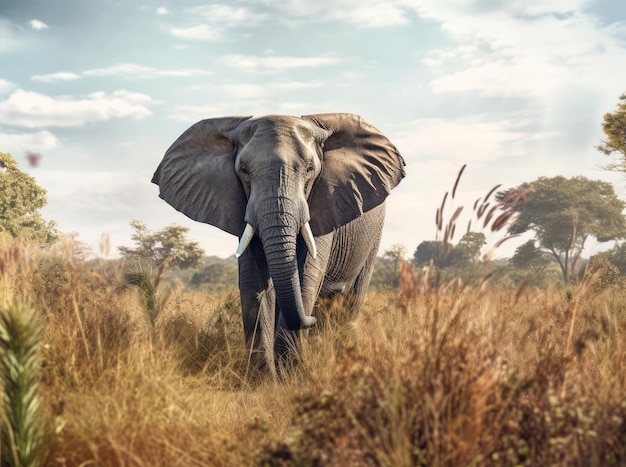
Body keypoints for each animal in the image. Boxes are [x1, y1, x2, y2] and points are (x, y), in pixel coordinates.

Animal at [151, 113, 404, 376]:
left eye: (310, 169)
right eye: (244, 170)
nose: (310, 321)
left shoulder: (323, 202)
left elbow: (305, 276)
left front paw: (288, 376)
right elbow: (253, 280)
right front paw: (263, 378)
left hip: (372, 239)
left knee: (352, 297)